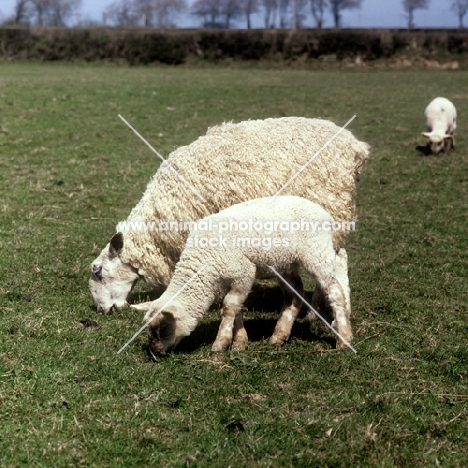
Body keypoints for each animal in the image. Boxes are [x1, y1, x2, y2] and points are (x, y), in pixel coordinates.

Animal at [132, 195, 352, 354]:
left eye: (163, 327)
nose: (155, 352)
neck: (202, 261)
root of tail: (323, 211)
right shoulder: (229, 281)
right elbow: (234, 309)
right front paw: (239, 341)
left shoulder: (243, 272)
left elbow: (229, 307)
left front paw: (220, 344)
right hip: (285, 263)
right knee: (295, 295)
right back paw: (278, 336)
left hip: (316, 252)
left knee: (335, 291)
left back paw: (343, 338)